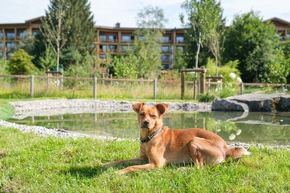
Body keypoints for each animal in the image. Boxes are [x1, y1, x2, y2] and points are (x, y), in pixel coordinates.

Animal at [102, 103, 249, 174]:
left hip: (194, 141)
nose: (146, 122)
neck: (151, 136)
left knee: (200, 168)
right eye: (142, 114)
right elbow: (122, 160)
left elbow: (131, 167)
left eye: (154, 116)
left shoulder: (156, 164)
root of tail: (226, 148)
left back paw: (182, 169)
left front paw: (118, 172)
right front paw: (106, 165)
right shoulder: (142, 158)